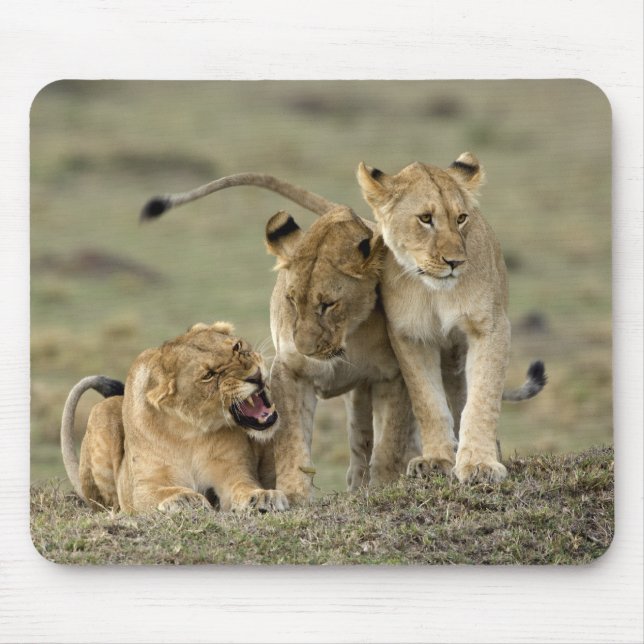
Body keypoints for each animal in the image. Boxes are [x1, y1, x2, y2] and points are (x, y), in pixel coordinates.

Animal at [60, 321, 288, 513]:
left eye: (237, 347)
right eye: (209, 375)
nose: (255, 376)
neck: (189, 432)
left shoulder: (234, 470)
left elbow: (244, 485)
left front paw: (262, 496)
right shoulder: (141, 488)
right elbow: (161, 492)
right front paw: (185, 499)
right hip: (103, 411)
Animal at [141, 171, 545, 501]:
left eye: (328, 304)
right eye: (291, 300)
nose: (305, 347)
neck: (347, 339)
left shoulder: (393, 376)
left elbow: (390, 440)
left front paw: (385, 485)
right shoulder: (289, 374)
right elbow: (292, 442)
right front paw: (293, 494)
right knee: (360, 439)